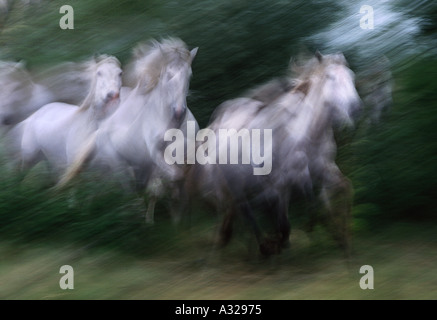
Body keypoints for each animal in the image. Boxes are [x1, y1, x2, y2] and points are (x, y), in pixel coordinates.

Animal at [187, 52, 362, 258]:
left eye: (351, 76)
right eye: (330, 77)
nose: (356, 109)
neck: (308, 135)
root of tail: (217, 120)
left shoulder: (323, 168)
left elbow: (341, 190)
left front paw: (344, 241)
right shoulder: (281, 182)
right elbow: (287, 222)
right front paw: (278, 243)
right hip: (236, 182)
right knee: (245, 210)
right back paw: (261, 246)